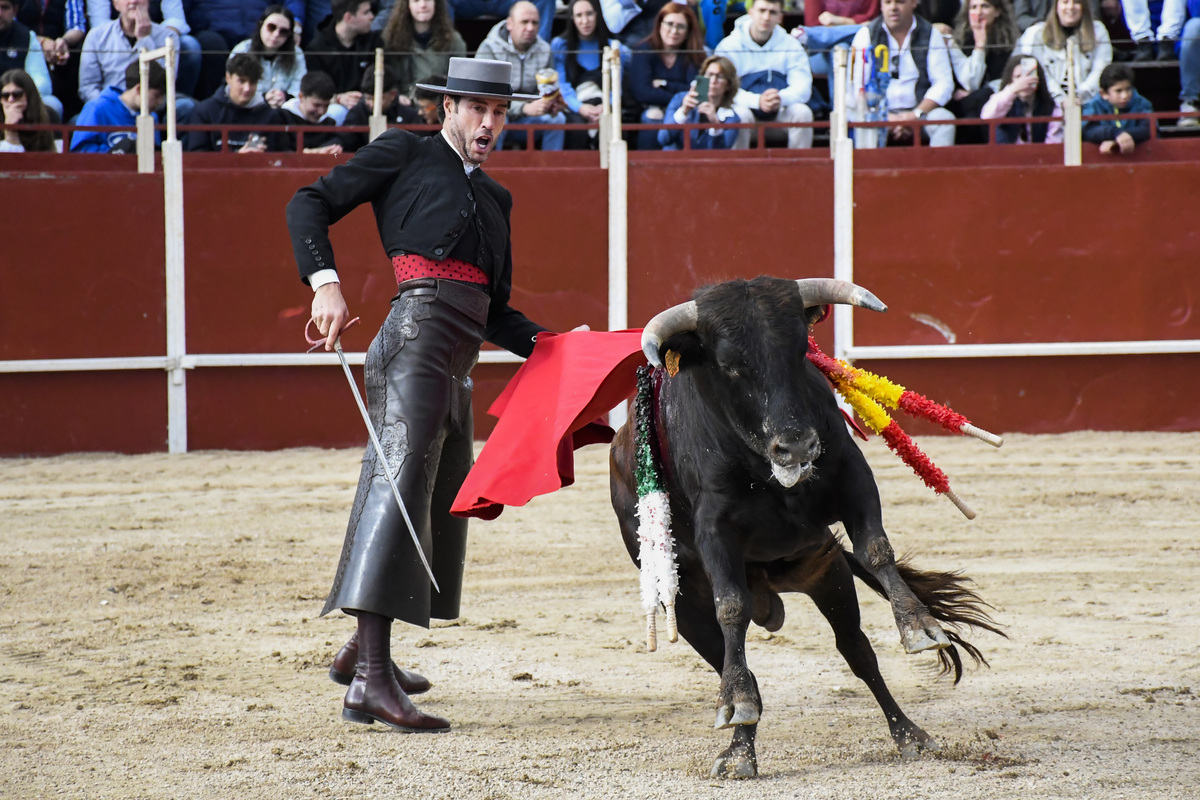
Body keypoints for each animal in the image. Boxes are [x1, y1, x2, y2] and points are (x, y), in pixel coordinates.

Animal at [609, 278, 1003, 777]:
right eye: (729, 366)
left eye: (800, 351)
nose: (796, 444)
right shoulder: (713, 526)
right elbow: (731, 605)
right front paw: (736, 710)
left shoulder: (852, 477)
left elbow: (877, 549)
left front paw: (919, 627)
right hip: (685, 601)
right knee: (731, 660)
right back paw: (740, 747)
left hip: (825, 571)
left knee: (857, 651)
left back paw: (909, 734)